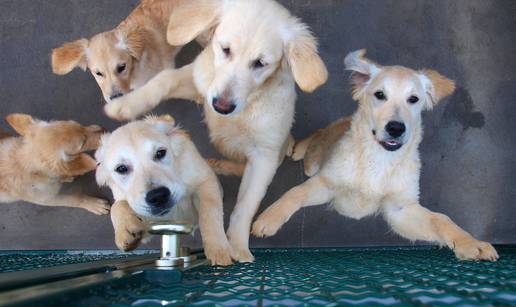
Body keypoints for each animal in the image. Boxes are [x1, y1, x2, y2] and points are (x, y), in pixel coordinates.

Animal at [95, 115, 233, 268]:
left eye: (160, 153)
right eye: (121, 169)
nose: (158, 197)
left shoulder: (204, 180)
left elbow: (209, 213)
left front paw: (219, 250)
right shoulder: (148, 225)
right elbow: (117, 205)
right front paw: (124, 231)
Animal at [252, 50, 498, 262]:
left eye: (414, 99)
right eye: (380, 95)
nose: (396, 128)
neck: (380, 160)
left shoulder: (401, 210)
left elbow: (441, 219)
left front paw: (470, 242)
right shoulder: (326, 183)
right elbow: (295, 193)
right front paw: (268, 218)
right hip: (314, 162)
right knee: (317, 138)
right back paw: (299, 148)